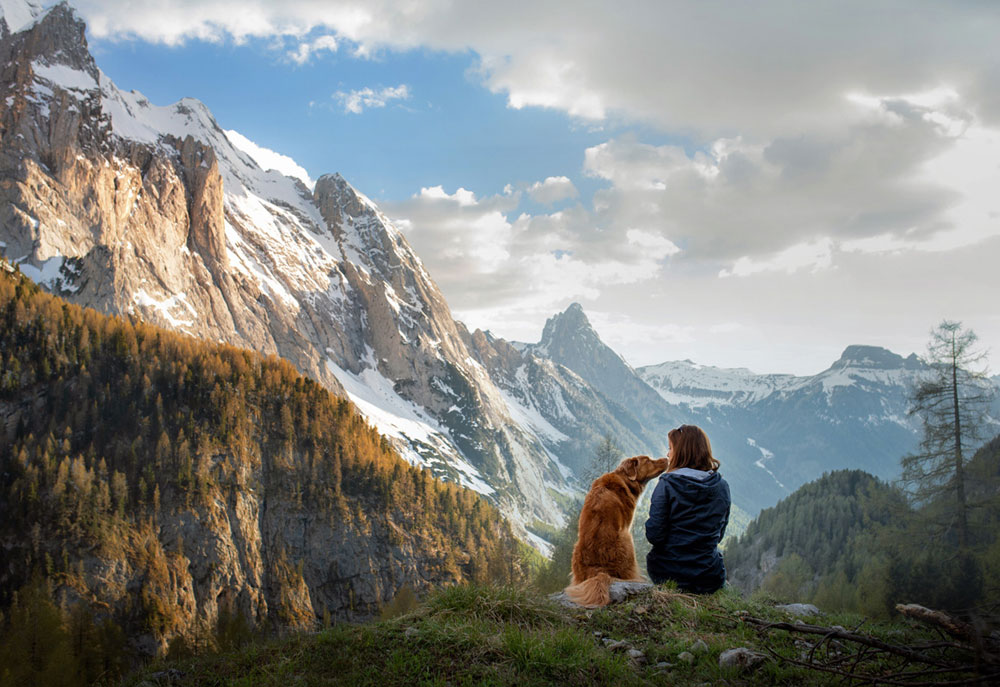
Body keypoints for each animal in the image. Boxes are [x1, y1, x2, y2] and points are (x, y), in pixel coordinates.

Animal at [568, 456, 668, 608]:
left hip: (576, 550)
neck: (625, 479)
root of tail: (599, 570)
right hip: (627, 539)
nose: (667, 458)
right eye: (648, 460)